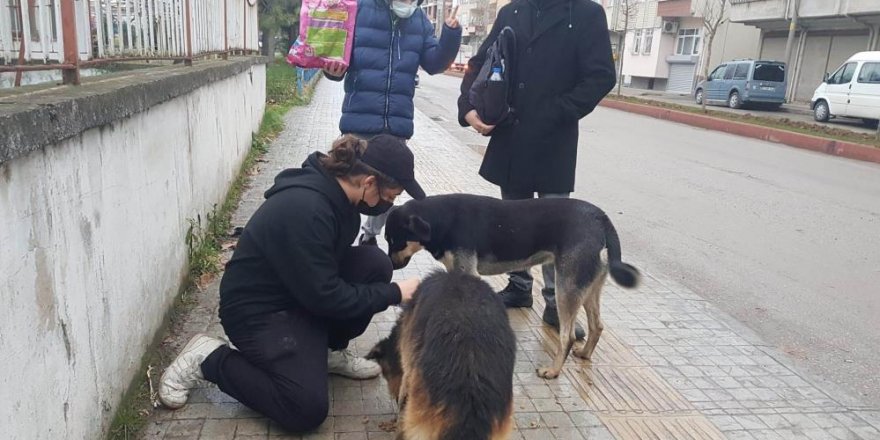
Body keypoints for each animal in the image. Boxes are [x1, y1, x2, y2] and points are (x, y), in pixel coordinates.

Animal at [384, 194, 640, 380]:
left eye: (395, 241)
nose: (389, 267)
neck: (442, 219)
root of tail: (600, 217)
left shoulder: (467, 271)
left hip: (567, 286)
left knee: (566, 336)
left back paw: (553, 371)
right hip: (587, 286)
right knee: (597, 325)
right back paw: (585, 354)